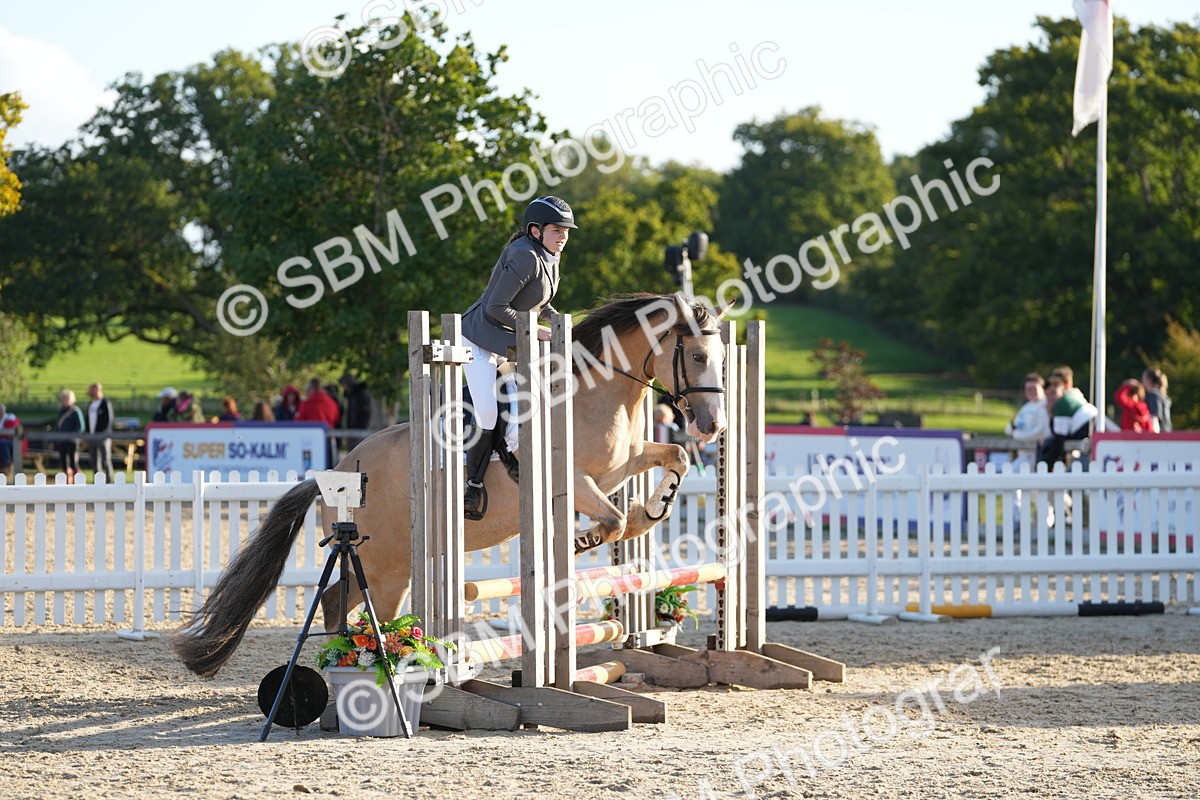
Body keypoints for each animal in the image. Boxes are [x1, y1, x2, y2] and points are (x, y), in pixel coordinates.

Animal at [173, 293, 729, 678]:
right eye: (698, 357)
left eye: (722, 357)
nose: (712, 426)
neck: (594, 393)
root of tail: (334, 473)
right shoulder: (569, 479)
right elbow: (610, 521)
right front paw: (580, 541)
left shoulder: (623, 465)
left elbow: (673, 459)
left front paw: (652, 510)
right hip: (389, 568)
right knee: (361, 610)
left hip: (383, 564)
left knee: (333, 601)